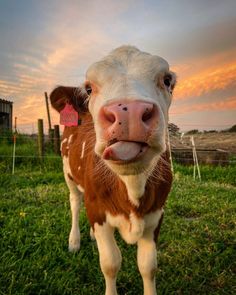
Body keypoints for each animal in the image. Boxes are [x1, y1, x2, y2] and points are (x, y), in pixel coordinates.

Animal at [49, 45, 175, 295]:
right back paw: (74, 241)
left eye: (166, 80)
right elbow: (110, 263)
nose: (129, 112)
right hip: (68, 174)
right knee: (75, 203)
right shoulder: (97, 210)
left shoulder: (156, 213)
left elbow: (148, 266)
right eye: (89, 88)